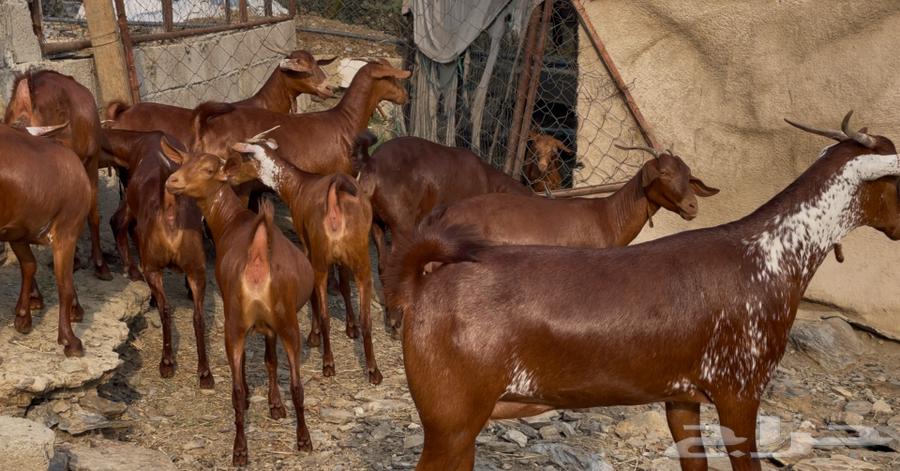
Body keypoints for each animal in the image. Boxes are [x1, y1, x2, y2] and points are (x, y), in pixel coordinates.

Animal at [0, 123, 90, 357]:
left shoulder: (17, 232)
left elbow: (29, 266)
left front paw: (23, 317)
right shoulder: (66, 233)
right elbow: (64, 284)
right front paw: (70, 340)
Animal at [102, 129, 213, 388]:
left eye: (208, 169)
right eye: (184, 163)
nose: (173, 181)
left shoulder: (197, 269)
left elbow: (199, 317)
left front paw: (205, 372)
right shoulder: (153, 266)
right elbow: (166, 309)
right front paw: (167, 363)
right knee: (119, 221)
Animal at [163, 143, 315, 466]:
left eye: (209, 169)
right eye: (183, 162)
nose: (173, 181)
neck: (231, 222)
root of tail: (257, 257)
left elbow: (265, 361)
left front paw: (270, 404)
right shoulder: (266, 325)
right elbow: (269, 360)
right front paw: (274, 405)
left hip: (246, 323)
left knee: (250, 386)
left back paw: (250, 447)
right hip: (282, 323)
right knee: (294, 384)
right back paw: (290, 442)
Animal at [228, 132, 381, 384]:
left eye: (243, 157)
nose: (226, 173)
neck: (298, 186)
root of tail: (335, 204)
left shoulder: (307, 245)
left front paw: (314, 335)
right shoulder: (342, 258)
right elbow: (344, 286)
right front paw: (351, 327)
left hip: (321, 259)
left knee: (326, 311)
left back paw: (328, 364)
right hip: (362, 260)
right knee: (367, 317)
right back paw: (373, 371)